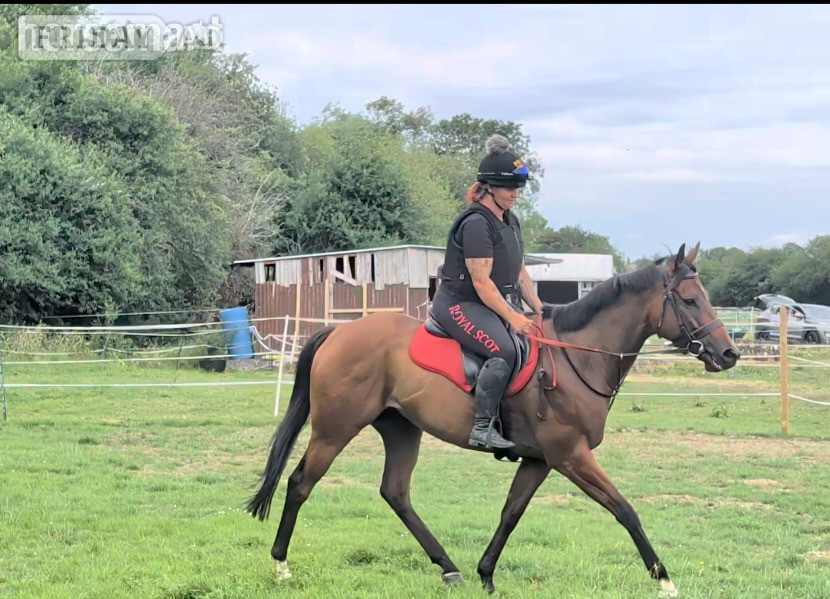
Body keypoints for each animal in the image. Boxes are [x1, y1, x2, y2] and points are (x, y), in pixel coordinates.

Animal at [245, 243, 740, 597]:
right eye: (690, 300)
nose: (729, 354)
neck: (578, 358)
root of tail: (338, 331)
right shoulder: (571, 456)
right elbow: (625, 509)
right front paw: (664, 578)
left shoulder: (540, 460)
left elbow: (511, 513)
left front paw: (486, 574)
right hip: (335, 429)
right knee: (300, 483)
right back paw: (280, 564)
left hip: (402, 429)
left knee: (396, 494)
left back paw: (449, 568)